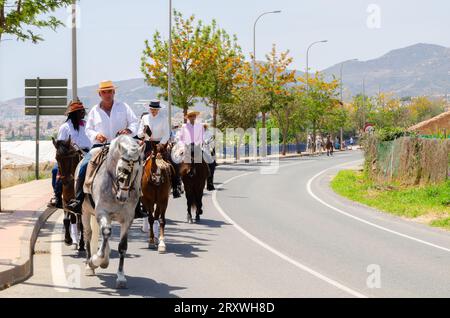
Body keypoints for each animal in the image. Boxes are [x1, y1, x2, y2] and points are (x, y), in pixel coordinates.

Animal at [76, 135, 145, 290]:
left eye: (137, 170)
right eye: (120, 168)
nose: (122, 197)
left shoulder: (128, 218)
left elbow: (122, 247)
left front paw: (121, 277)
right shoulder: (102, 212)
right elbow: (106, 233)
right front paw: (95, 261)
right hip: (85, 212)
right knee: (89, 234)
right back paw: (90, 265)